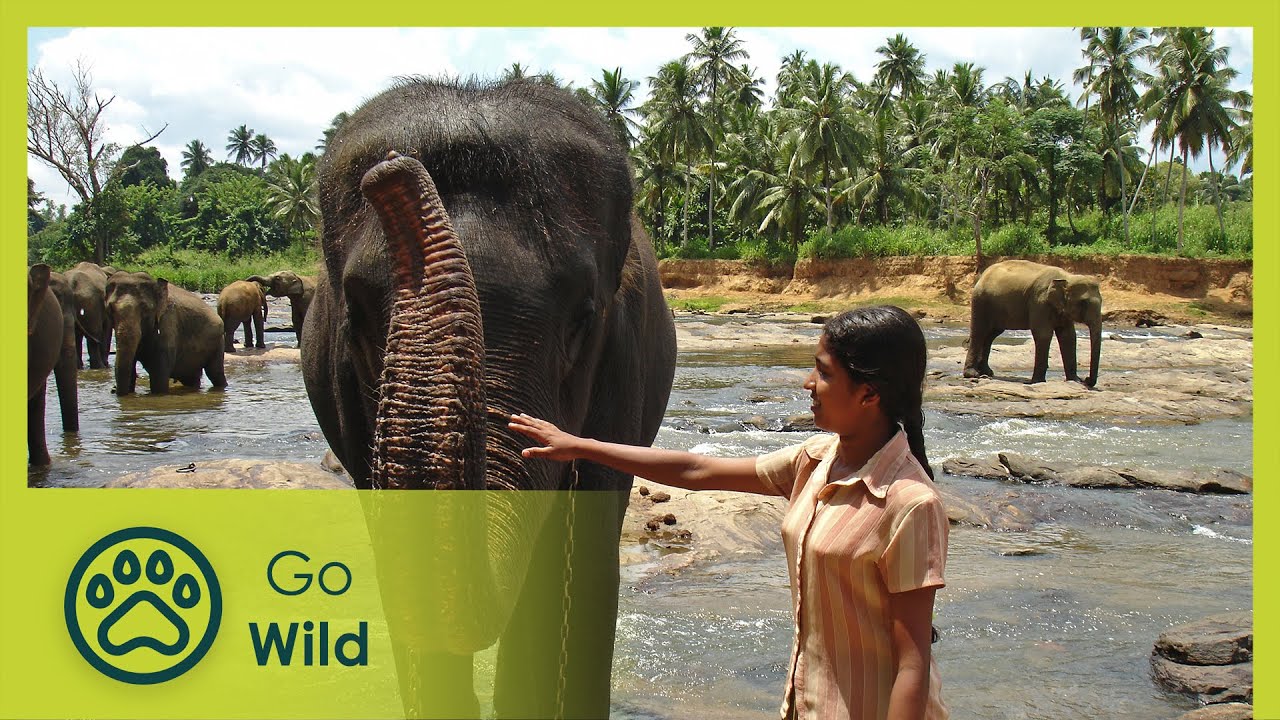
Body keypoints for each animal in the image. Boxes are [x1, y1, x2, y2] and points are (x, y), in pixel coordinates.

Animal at [963, 259, 1103, 387]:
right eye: (1083, 302)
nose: (1086, 380)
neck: (1067, 277)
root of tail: (983, 275)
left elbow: (1068, 336)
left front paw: (1075, 380)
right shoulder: (1039, 302)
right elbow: (1043, 334)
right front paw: (1037, 382)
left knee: (990, 335)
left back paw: (986, 372)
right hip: (981, 301)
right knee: (979, 332)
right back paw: (972, 374)